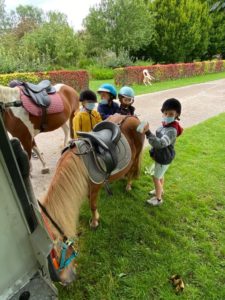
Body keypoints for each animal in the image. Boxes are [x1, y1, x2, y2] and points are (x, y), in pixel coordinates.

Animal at [38, 114, 144, 284]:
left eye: (53, 254)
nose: (66, 281)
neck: (78, 166)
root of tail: (130, 116)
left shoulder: (95, 188)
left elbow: (92, 205)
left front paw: (94, 222)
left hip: (136, 155)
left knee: (132, 170)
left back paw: (128, 185)